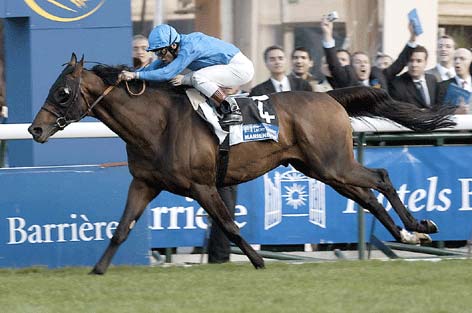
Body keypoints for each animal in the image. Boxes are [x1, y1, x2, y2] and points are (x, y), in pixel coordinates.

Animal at [28, 54, 454, 272]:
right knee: (366, 196)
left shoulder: (202, 186)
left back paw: (419, 227)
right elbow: (120, 230)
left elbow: (230, 227)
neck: (157, 124)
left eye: (62, 92)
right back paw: (408, 236)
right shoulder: (144, 184)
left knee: (380, 176)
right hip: (321, 168)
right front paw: (97, 271)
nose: (35, 128)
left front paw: (259, 262)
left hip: (333, 163)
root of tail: (328, 96)